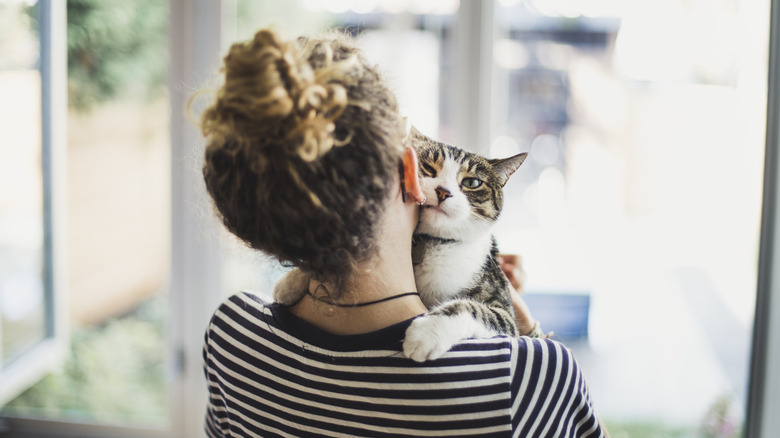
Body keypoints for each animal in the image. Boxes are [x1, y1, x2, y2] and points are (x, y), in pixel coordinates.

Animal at [272, 127, 528, 362]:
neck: (431, 244)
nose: (443, 192)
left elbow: (472, 308)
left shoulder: (504, 311)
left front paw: (426, 333)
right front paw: (291, 282)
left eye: (472, 182)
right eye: (428, 168)